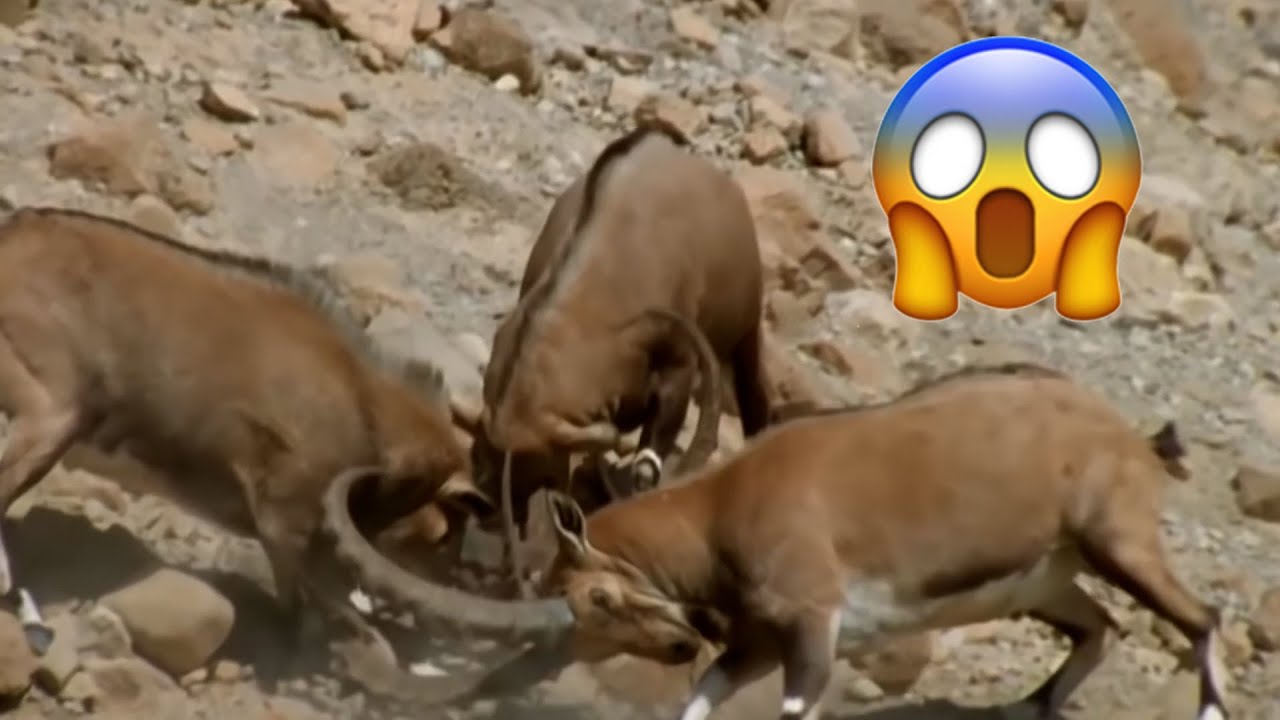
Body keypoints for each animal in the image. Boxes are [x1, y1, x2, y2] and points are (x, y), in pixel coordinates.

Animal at [320, 363, 1228, 720]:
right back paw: (1024, 706)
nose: (673, 639)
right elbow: (698, 699)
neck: (725, 509)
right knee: (1100, 626)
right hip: (1045, 580)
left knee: (1201, 618)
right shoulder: (751, 644)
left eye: (598, 595)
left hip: (1119, 541)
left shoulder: (812, 627)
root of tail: (1135, 440)